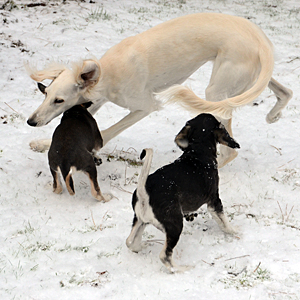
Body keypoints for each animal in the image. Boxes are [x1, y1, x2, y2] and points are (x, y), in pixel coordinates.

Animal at [27, 12, 292, 168]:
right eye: (45, 93)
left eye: (59, 100)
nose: (31, 121)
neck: (108, 71)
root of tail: (260, 39)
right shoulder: (96, 99)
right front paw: (42, 143)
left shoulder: (145, 106)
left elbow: (109, 131)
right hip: (248, 80)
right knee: (286, 91)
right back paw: (274, 114)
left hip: (218, 93)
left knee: (230, 153)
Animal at [125, 113, 240, 272]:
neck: (198, 152)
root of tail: (144, 192)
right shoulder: (214, 200)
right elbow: (224, 222)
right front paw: (235, 232)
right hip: (175, 225)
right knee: (165, 256)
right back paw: (183, 268)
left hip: (141, 221)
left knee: (131, 242)